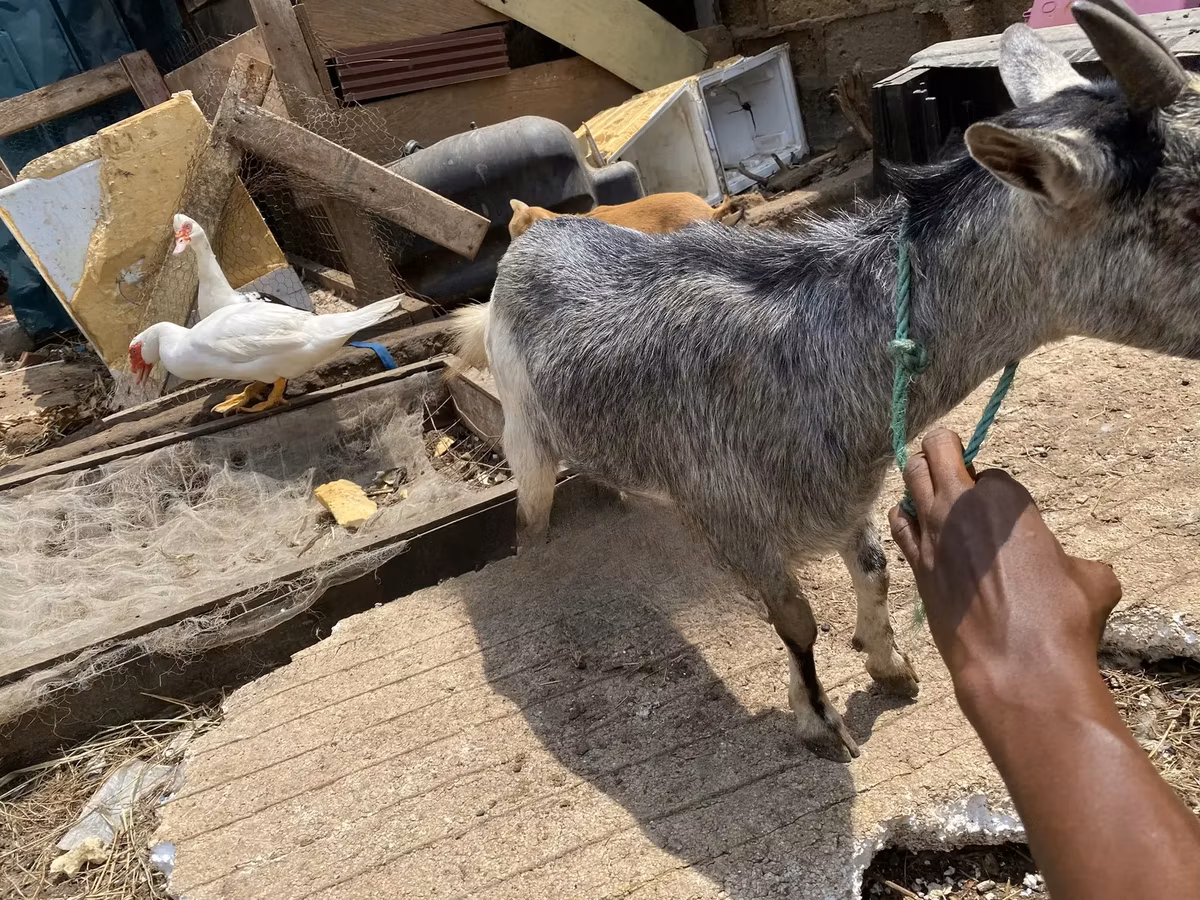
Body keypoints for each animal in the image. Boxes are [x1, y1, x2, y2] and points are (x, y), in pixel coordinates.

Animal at [452, 0, 1200, 758]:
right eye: (1193, 210)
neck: (816, 357)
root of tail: (531, 238)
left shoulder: (846, 497)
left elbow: (874, 569)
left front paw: (889, 664)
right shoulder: (731, 522)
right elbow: (796, 621)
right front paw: (819, 720)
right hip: (523, 432)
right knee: (531, 516)